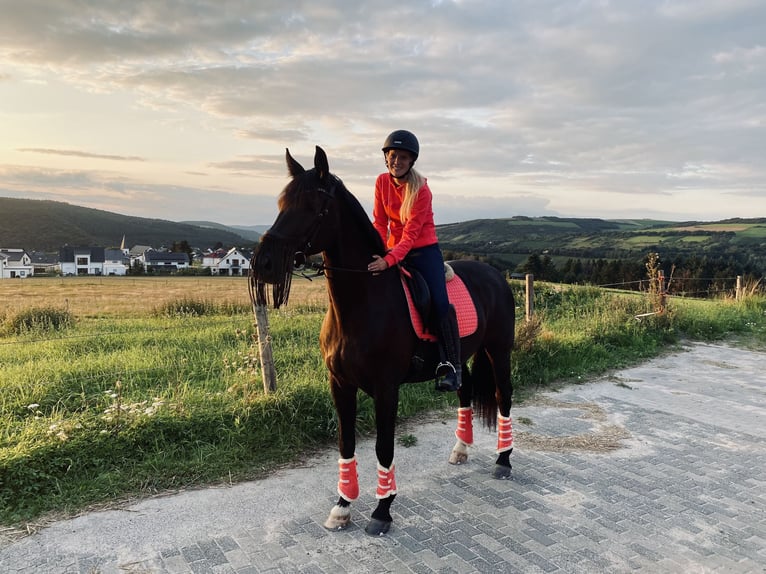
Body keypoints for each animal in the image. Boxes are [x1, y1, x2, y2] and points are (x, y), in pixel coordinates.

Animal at [252, 146, 516, 536]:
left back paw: (504, 460)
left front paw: (382, 511)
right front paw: (342, 507)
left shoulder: (386, 389)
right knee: (464, 389)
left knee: (503, 396)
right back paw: (461, 450)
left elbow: (383, 447)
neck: (363, 302)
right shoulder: (339, 384)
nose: (263, 263)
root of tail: (496, 275)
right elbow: (346, 443)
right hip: (462, 358)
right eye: (282, 202)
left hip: (499, 351)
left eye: (313, 207)